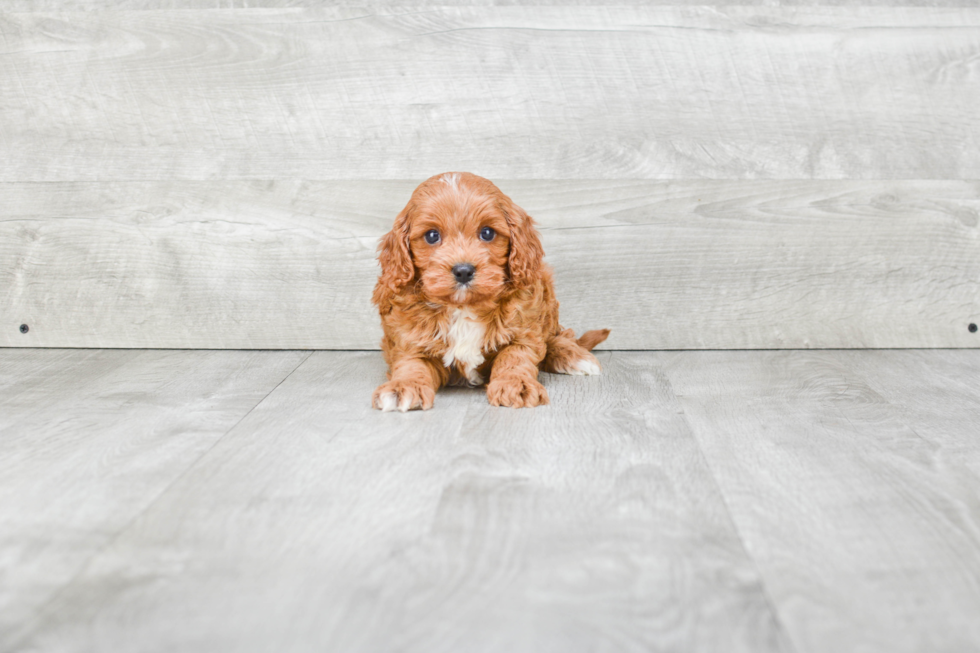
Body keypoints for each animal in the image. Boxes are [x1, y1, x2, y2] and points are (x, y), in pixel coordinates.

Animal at [372, 171, 608, 410]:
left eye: (487, 233)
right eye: (431, 236)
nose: (463, 271)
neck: (463, 307)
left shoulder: (525, 329)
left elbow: (515, 357)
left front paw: (516, 384)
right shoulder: (409, 341)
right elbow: (411, 364)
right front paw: (403, 387)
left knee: (556, 336)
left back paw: (575, 357)